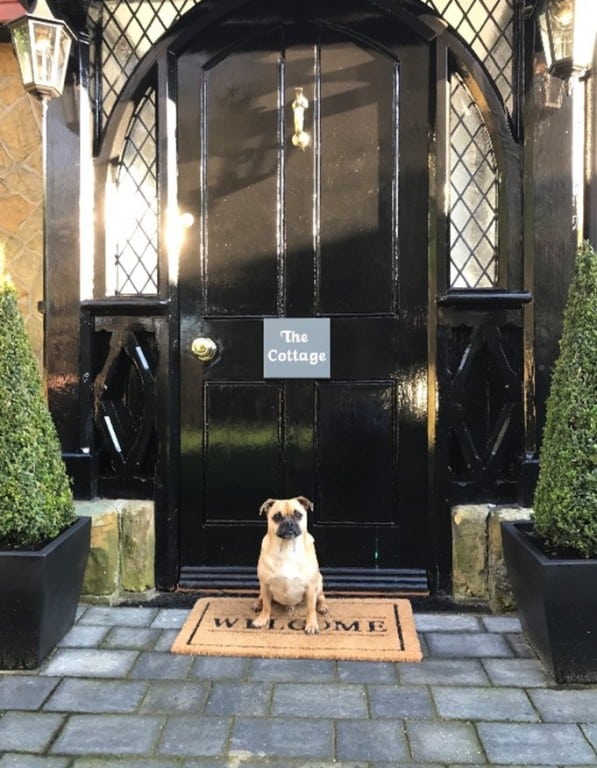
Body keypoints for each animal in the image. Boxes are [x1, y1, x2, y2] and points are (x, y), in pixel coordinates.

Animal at [250, 496, 328, 632]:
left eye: (298, 515)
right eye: (277, 516)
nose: (289, 523)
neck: (287, 548)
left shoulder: (310, 587)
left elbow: (310, 609)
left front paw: (312, 624)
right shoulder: (265, 585)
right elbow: (267, 606)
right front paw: (262, 619)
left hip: (318, 582)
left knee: (320, 596)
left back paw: (322, 606)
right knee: (262, 598)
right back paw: (257, 603)